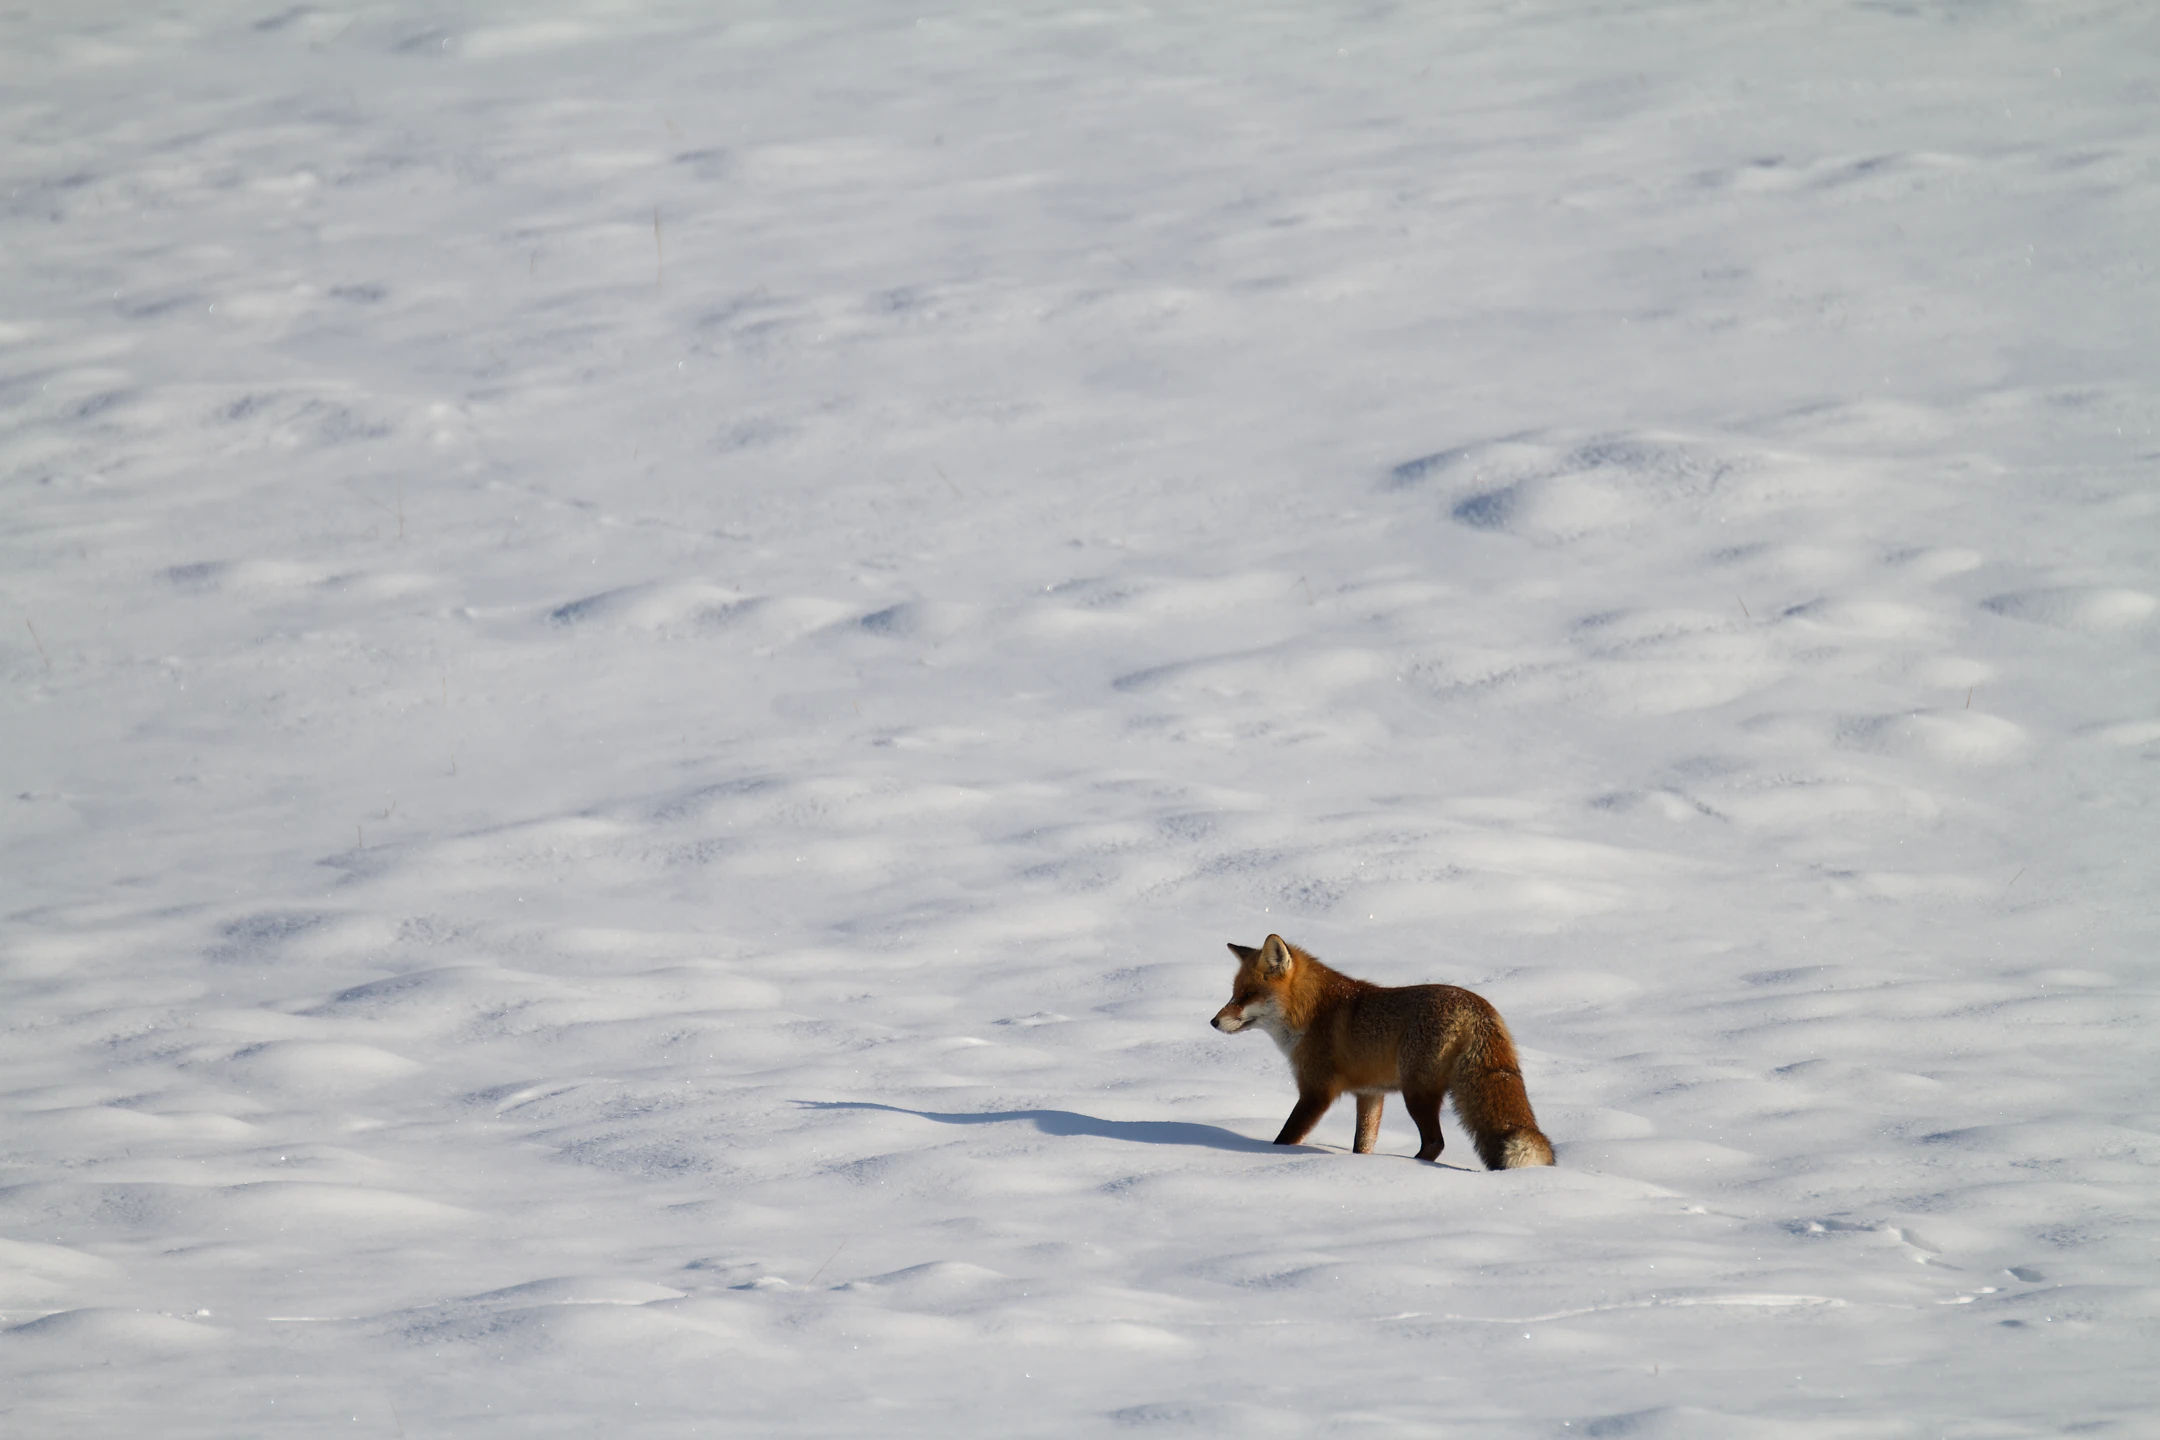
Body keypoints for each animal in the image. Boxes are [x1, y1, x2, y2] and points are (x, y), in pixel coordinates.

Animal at [1211, 934, 1555, 1169]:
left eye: (1248, 995)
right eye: (1233, 994)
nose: (1213, 1021)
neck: (1310, 1012)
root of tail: (1479, 1007)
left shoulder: (1316, 1091)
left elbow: (1286, 1137)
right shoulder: (1370, 1094)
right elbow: (1362, 1143)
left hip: (1416, 1093)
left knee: (1435, 1143)